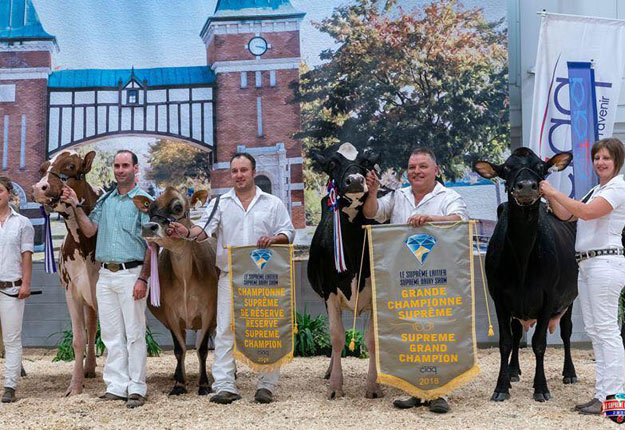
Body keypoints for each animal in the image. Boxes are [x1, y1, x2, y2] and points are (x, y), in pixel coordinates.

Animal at [32, 149, 101, 394]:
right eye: (42, 168)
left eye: (71, 166)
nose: (39, 188)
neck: (86, 243)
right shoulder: (73, 292)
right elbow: (79, 338)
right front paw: (75, 386)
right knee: (92, 326)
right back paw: (89, 368)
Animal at [133, 188, 218, 396]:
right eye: (150, 208)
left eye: (178, 207)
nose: (148, 227)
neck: (185, 276)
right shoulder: (171, 314)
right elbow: (179, 349)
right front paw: (179, 384)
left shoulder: (208, 311)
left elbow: (202, 349)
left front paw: (204, 385)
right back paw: (179, 375)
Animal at [306, 142, 380, 400]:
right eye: (332, 164)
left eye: (366, 162)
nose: (355, 180)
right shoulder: (329, 293)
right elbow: (337, 337)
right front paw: (336, 385)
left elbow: (371, 339)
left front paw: (373, 385)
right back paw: (330, 371)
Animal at [476, 149, 576, 404]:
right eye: (507, 168)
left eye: (541, 167)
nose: (527, 186)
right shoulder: (499, 297)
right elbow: (505, 342)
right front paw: (501, 386)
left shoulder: (549, 297)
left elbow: (539, 343)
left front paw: (541, 387)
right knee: (517, 332)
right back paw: (513, 372)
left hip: (570, 298)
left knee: (567, 331)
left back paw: (569, 373)